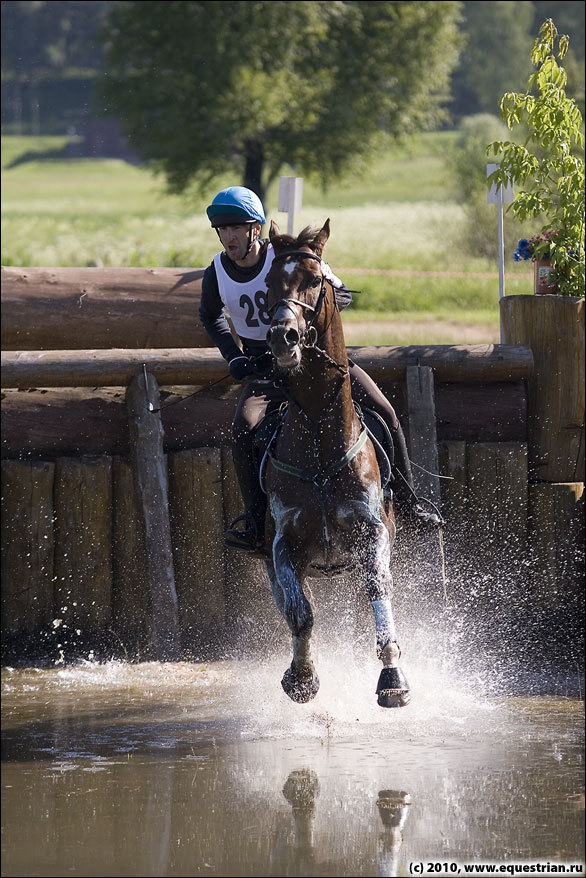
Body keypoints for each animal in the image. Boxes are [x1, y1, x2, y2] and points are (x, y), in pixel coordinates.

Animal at [262, 218, 408, 708]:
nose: (282, 336)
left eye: (313, 280)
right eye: (268, 285)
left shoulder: (372, 531)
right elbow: (300, 613)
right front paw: (302, 678)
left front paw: (392, 676)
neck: (320, 444)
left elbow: (378, 589)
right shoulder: (283, 545)